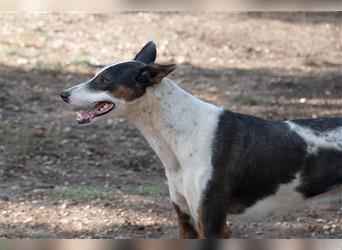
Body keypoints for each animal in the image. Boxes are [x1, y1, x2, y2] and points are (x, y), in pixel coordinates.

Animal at [61, 41, 342, 238]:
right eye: (97, 75)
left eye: (105, 80)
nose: (63, 94)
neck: (182, 136)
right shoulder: (185, 218)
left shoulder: (212, 223)